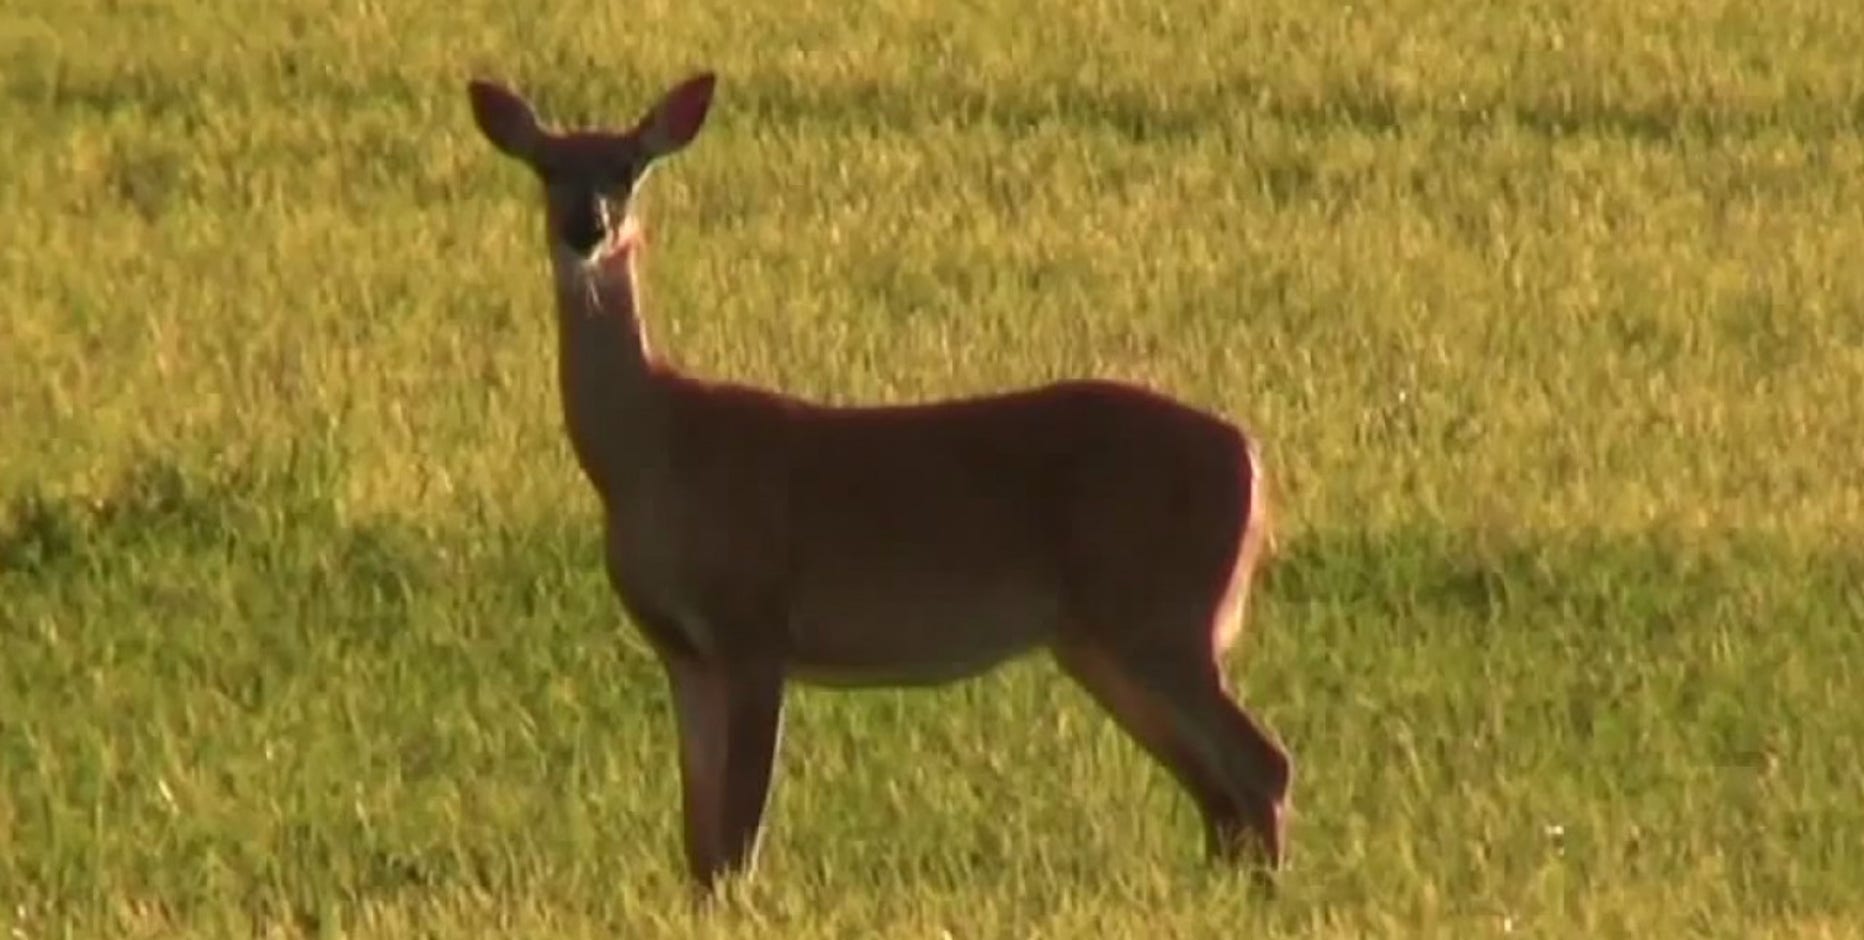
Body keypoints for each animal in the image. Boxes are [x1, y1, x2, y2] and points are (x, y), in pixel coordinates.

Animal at [464, 70, 1294, 896]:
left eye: (629, 167)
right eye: (547, 166)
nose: (588, 229)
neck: (651, 453)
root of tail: (1251, 457)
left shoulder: (755, 620)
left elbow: (740, 826)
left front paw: (744, 905)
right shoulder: (681, 649)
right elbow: (699, 836)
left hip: (1161, 611)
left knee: (1264, 765)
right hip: (1102, 636)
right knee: (1218, 791)